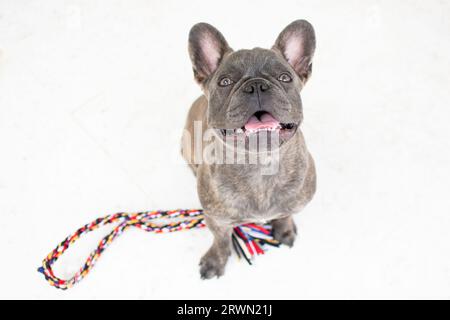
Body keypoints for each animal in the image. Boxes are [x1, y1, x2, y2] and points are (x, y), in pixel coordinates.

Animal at [180, 20, 316, 278]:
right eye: (225, 82)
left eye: (285, 77)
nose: (257, 86)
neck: (260, 163)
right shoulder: (216, 219)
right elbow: (221, 239)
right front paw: (215, 261)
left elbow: (285, 214)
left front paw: (284, 230)